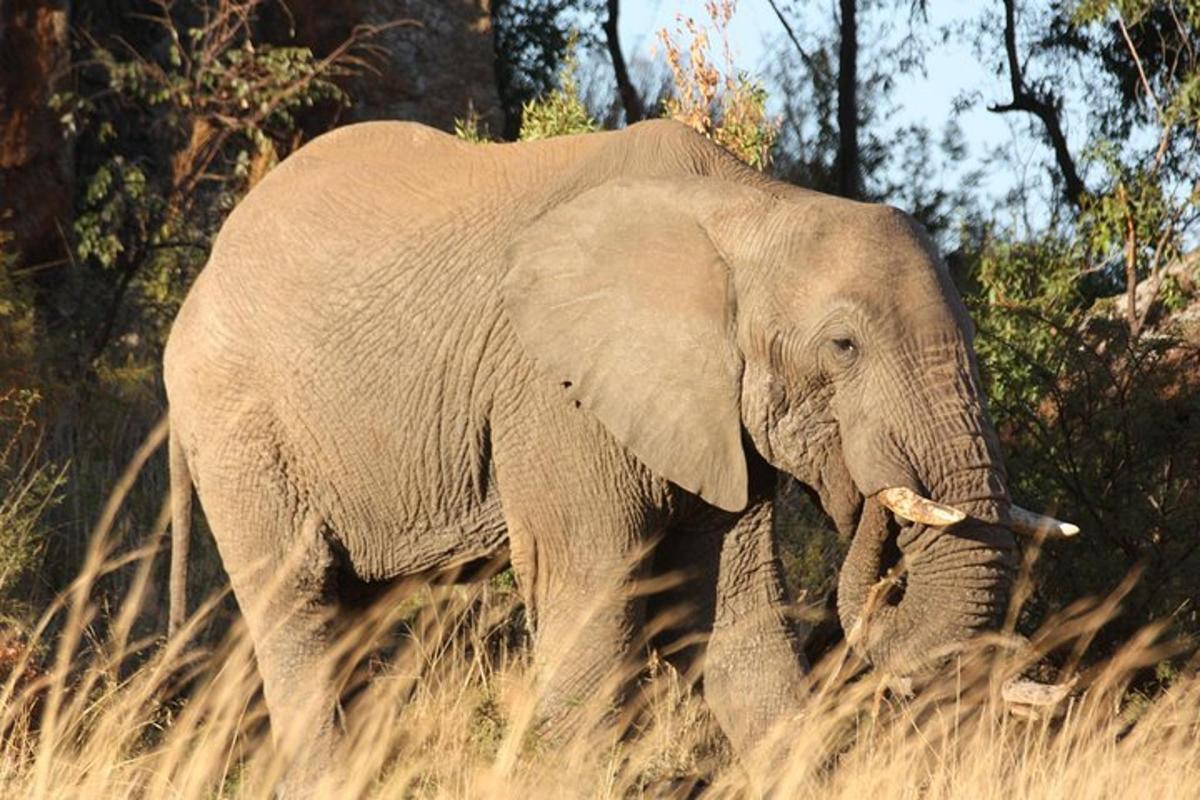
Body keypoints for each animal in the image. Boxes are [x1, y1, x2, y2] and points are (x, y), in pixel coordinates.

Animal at [164, 117, 1075, 796]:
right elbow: (592, 604)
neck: (751, 210)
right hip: (240, 425)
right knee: (302, 602)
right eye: (843, 346)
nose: (874, 504)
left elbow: (740, 625)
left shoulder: (710, 413)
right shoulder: (555, 392)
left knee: (355, 613)